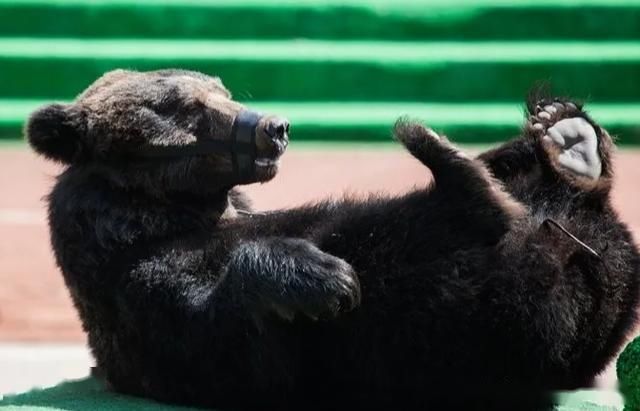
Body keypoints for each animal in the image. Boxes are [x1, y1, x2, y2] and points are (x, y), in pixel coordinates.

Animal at [25, 69, 640, 410]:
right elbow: (209, 317)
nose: (274, 126)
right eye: (186, 107)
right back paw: (448, 159)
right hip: (454, 327)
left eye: (221, 89)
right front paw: (325, 278)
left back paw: (564, 141)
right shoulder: (128, 284)